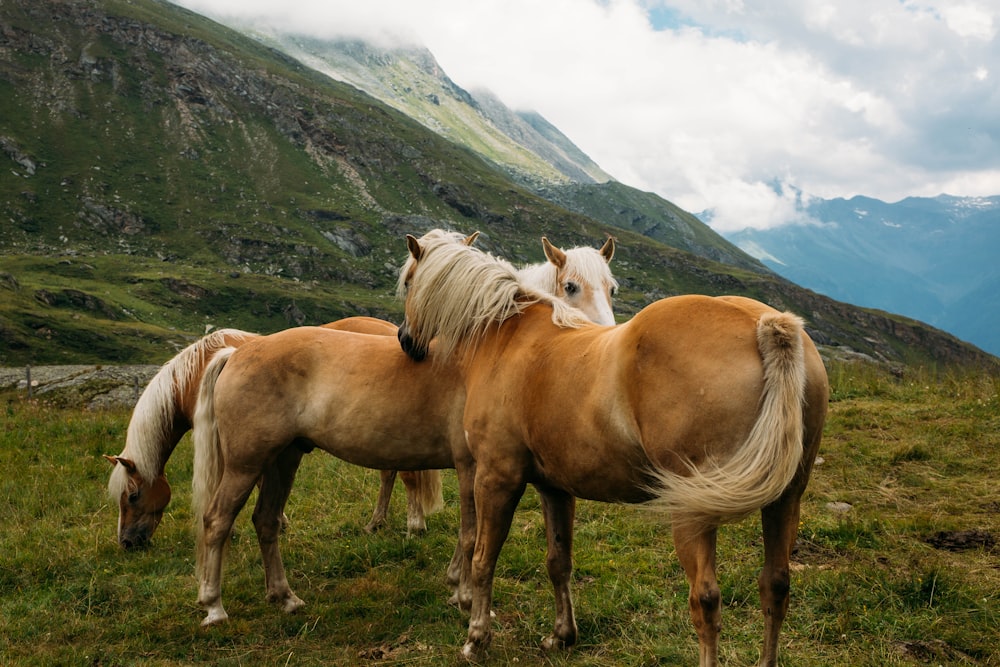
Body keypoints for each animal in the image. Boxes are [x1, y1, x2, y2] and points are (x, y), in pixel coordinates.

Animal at [184, 232, 612, 628]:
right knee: (217, 521)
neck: (485, 348)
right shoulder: (473, 467)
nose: (601, 346)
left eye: (612, 288)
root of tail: (236, 352)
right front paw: (466, 597)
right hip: (245, 464)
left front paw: (457, 587)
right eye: (570, 286)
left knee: (266, 520)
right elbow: (471, 534)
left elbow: (468, 532)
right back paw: (214, 607)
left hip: (283, 459)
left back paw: (284, 596)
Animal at [396, 231, 828, 667]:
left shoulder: (495, 478)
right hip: (785, 499)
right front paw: (562, 635)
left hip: (694, 512)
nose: (405, 341)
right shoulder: (555, 488)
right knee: (775, 585)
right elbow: (558, 561)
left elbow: (484, 558)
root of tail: (764, 324)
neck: (508, 334)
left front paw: (477, 637)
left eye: (408, 282)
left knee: (706, 600)